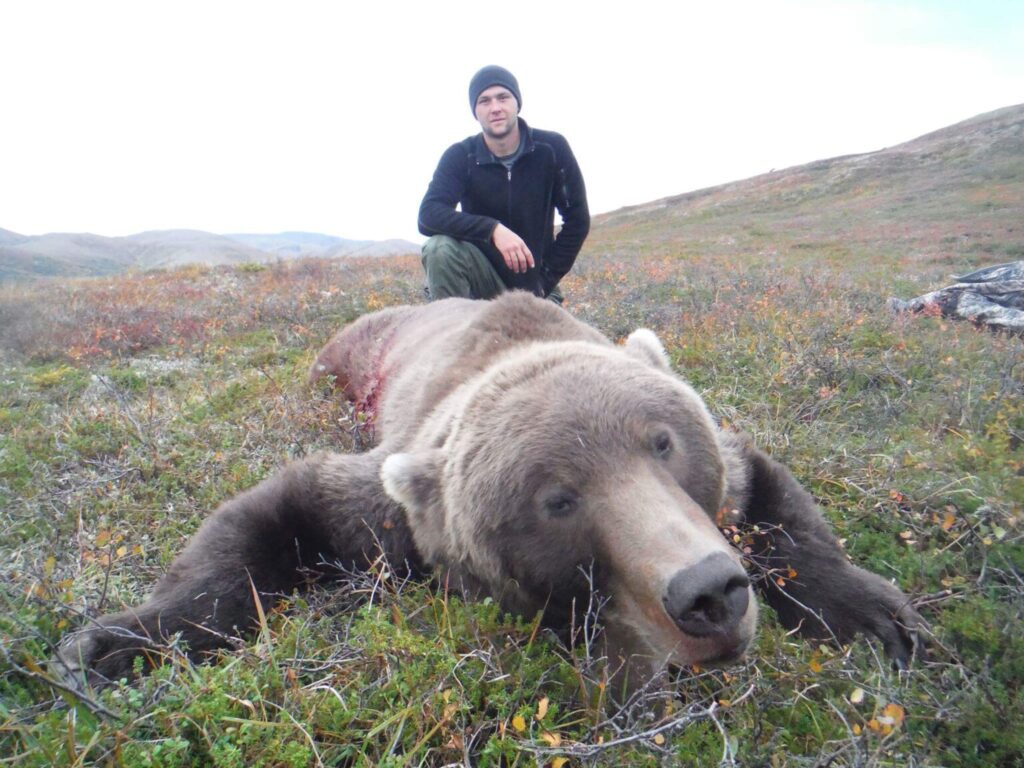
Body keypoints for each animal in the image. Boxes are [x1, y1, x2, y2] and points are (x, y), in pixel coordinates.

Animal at [55, 292, 925, 691]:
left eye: (664, 443)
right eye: (556, 499)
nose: (706, 591)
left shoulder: (727, 473)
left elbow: (774, 500)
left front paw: (881, 617)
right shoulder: (396, 507)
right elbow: (275, 515)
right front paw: (114, 640)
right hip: (335, 367)